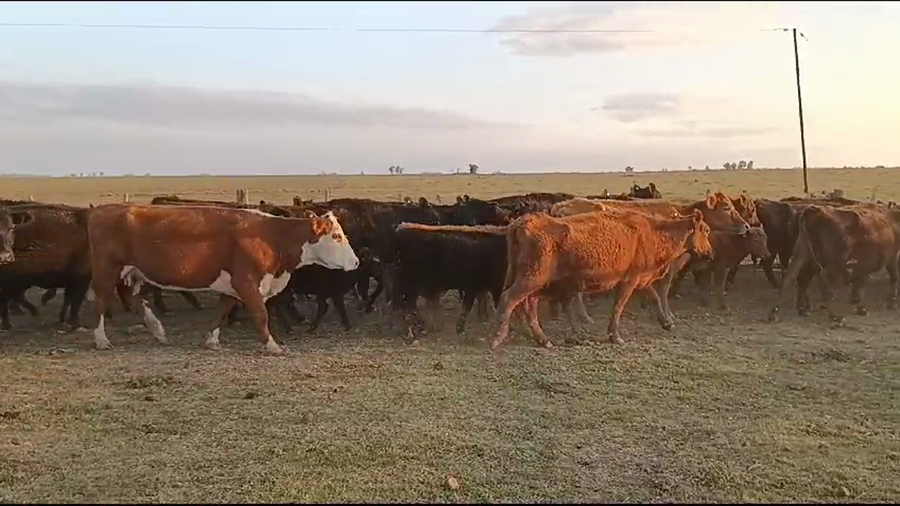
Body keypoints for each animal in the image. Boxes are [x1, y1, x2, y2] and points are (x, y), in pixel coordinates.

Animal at [85, 204, 360, 354]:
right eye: (336, 236)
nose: (356, 262)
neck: (272, 236)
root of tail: (101, 211)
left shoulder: (233, 286)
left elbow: (221, 311)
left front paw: (211, 340)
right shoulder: (247, 282)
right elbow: (261, 314)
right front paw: (272, 345)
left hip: (131, 272)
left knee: (134, 299)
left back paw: (157, 330)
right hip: (107, 270)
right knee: (100, 302)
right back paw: (101, 340)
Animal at [490, 208, 712, 349]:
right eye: (706, 230)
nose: (709, 253)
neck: (653, 231)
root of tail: (525, 221)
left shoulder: (640, 280)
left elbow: (654, 298)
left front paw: (666, 323)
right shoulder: (629, 281)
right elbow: (619, 307)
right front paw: (616, 337)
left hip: (536, 284)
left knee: (528, 307)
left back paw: (543, 340)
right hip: (530, 280)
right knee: (509, 299)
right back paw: (497, 339)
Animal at [767, 205, 900, 324]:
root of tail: (814, 210)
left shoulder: (863, 265)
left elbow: (860, 283)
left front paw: (859, 306)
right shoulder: (891, 258)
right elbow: (892, 278)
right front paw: (891, 303)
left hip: (801, 255)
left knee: (789, 278)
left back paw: (776, 314)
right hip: (832, 264)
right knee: (825, 287)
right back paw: (835, 317)